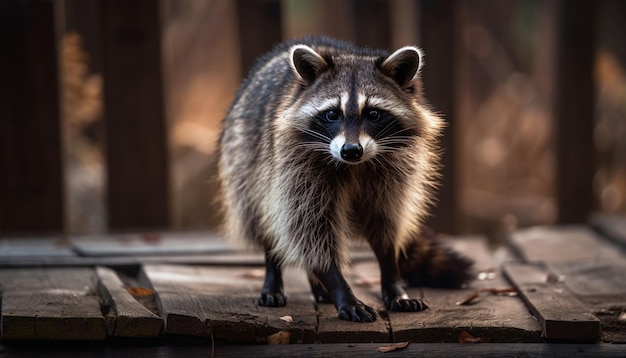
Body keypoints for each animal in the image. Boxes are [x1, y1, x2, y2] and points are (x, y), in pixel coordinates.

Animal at [217, 36, 470, 322]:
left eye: (373, 114)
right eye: (331, 114)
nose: (351, 150)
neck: (355, 165)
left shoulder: (394, 171)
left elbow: (385, 221)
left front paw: (391, 277)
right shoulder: (295, 166)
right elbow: (308, 226)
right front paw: (338, 285)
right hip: (244, 163)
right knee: (268, 220)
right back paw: (274, 275)